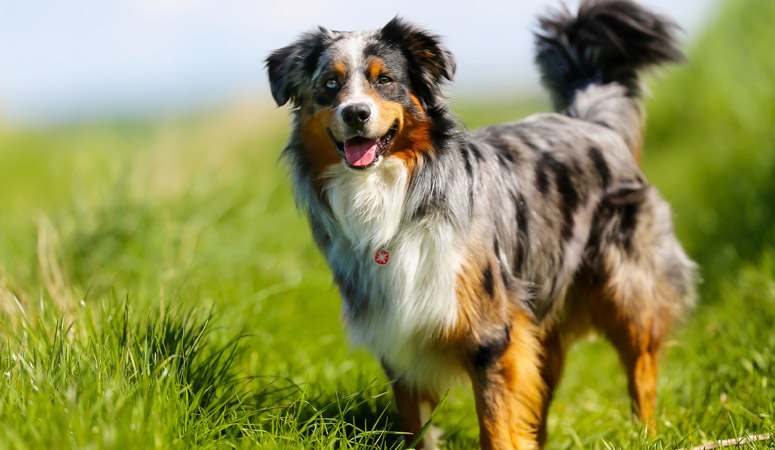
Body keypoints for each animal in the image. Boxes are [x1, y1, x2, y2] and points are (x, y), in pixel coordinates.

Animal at [266, 1, 696, 448]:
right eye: (330, 84)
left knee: (640, 369)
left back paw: (645, 433)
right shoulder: (398, 335)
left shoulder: (490, 332)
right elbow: (417, 426)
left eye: (384, 80)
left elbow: (495, 424)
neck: (393, 197)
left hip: (626, 291)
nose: (355, 113)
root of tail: (593, 123)